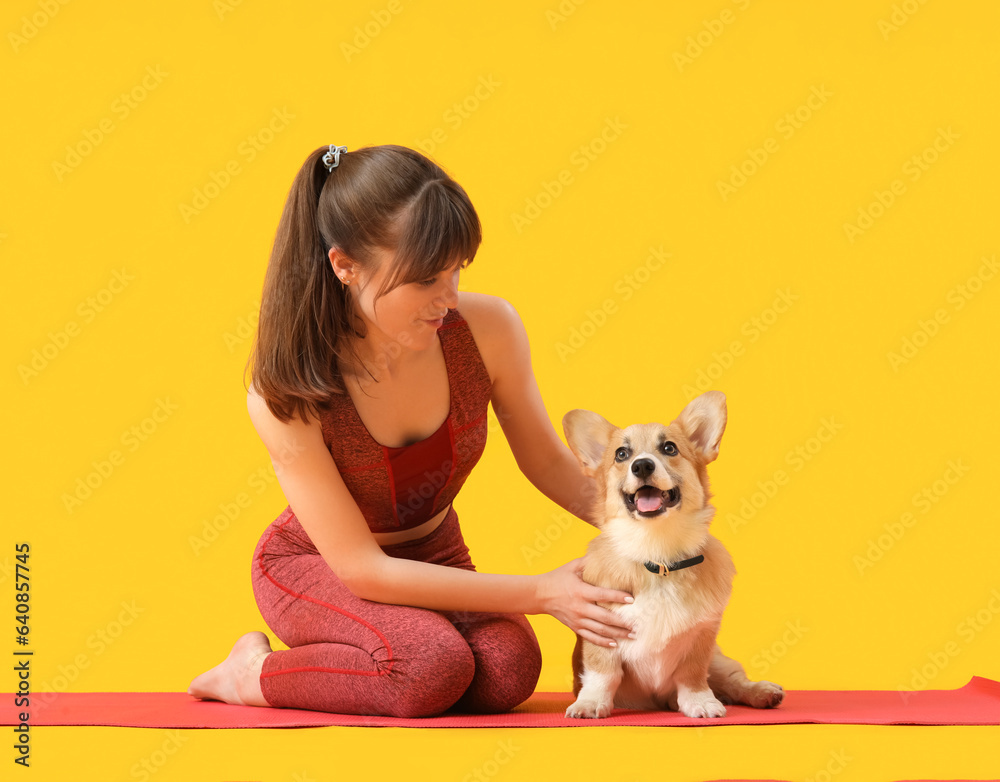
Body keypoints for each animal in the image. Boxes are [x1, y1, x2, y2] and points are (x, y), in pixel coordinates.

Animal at [564, 392, 780, 724]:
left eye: (669, 448)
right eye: (621, 454)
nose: (641, 466)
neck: (659, 554)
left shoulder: (701, 638)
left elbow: (692, 676)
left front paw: (700, 702)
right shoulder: (600, 632)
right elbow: (603, 673)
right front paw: (590, 703)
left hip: (719, 661)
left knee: (732, 681)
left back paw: (762, 692)